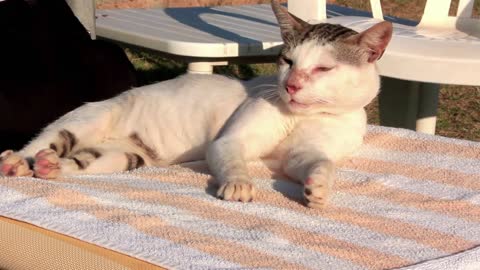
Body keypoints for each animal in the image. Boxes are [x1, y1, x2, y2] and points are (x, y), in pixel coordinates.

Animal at [0, 0, 390, 209]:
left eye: (323, 68)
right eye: (287, 60)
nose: (291, 85)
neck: (303, 116)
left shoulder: (301, 155)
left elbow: (319, 162)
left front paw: (318, 188)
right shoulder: (230, 141)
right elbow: (234, 162)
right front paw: (239, 184)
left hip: (124, 157)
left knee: (72, 160)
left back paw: (50, 167)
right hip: (84, 120)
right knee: (40, 142)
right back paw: (18, 163)